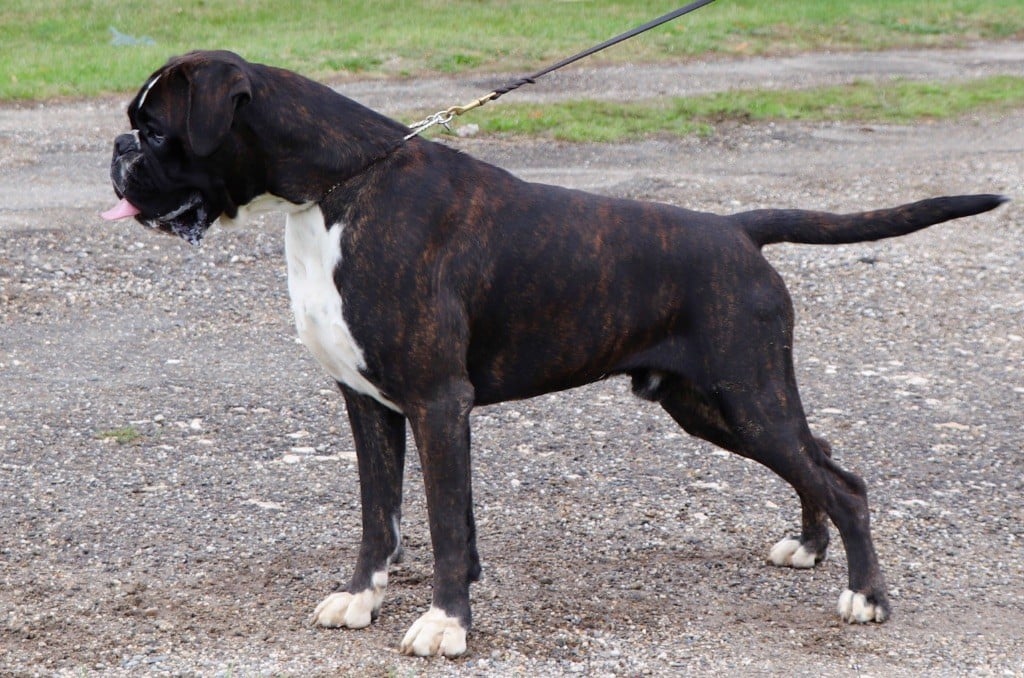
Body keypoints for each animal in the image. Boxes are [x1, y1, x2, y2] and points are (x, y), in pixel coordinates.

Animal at [104, 50, 1007, 657]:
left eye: (155, 128)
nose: (116, 152)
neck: (338, 188)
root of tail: (736, 229)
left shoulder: (437, 403)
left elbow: (444, 522)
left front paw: (445, 624)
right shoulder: (368, 404)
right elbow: (378, 515)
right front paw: (362, 599)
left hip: (748, 397)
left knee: (843, 481)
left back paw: (865, 597)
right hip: (717, 405)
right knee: (818, 461)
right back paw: (810, 548)